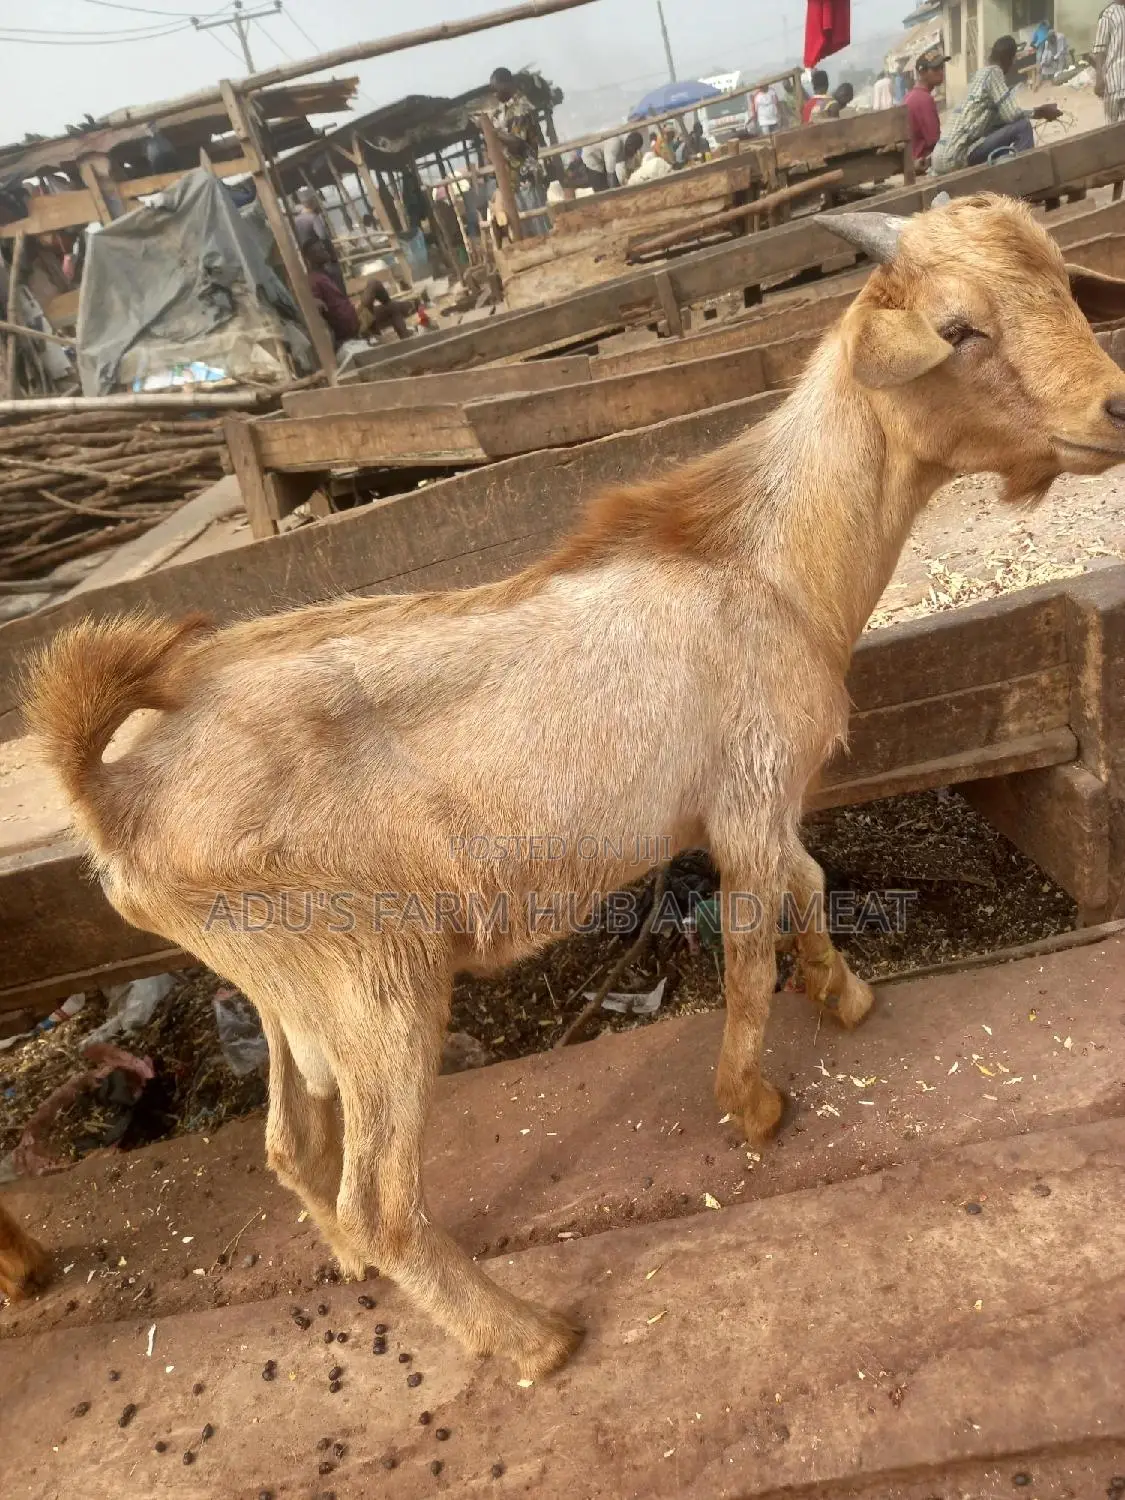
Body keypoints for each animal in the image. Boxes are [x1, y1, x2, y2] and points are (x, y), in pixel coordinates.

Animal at [22, 194, 1125, 1379]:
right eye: (958, 329)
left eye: (1062, 283)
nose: (1115, 405)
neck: (766, 562)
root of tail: (118, 798)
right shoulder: (747, 797)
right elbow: (752, 951)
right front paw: (754, 1104)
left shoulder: (761, 802)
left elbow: (812, 884)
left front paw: (845, 994)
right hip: (374, 976)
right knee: (382, 1200)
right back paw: (531, 1338)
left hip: (288, 987)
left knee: (290, 1146)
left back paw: (361, 1268)